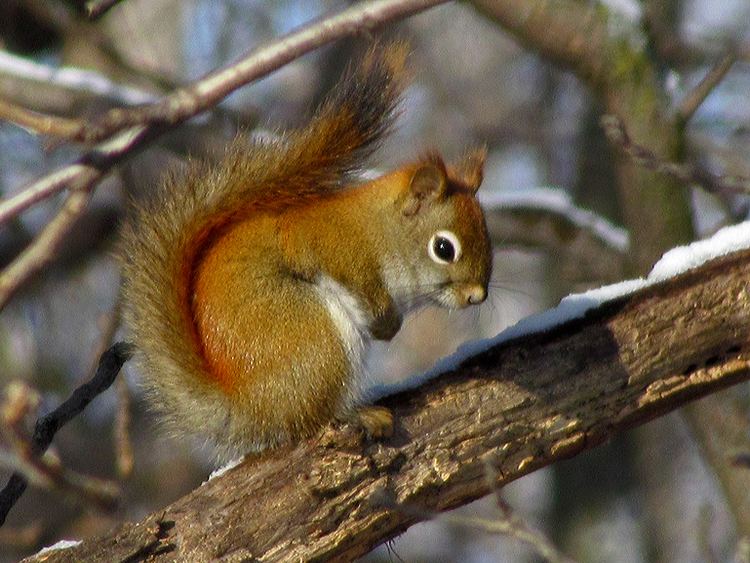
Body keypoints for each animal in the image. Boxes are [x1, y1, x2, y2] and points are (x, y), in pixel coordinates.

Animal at [119, 41, 494, 460]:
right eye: (444, 248)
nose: (477, 296)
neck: (378, 230)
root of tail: (247, 403)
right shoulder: (326, 242)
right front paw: (386, 323)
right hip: (312, 335)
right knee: (311, 416)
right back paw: (359, 415)